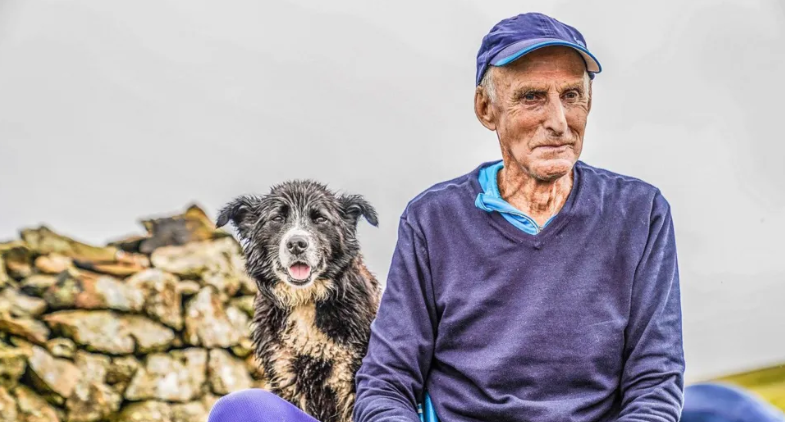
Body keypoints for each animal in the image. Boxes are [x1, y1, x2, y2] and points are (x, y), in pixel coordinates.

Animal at [216, 181, 382, 422]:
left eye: (320, 218)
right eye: (277, 218)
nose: (296, 244)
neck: (306, 301)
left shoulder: (349, 377)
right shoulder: (287, 376)